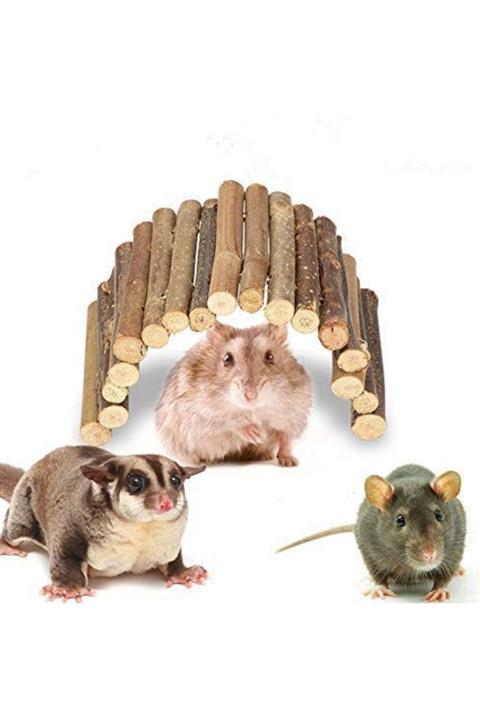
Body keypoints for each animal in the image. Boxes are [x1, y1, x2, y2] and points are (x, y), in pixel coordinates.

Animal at [0, 446, 206, 602]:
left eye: (176, 481)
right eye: (135, 482)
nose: (166, 502)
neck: (141, 527)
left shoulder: (170, 540)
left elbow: (172, 558)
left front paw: (182, 573)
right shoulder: (71, 521)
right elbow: (66, 553)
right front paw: (69, 588)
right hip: (23, 504)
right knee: (16, 528)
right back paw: (6, 544)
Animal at [155, 322, 312, 467]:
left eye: (270, 356)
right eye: (227, 358)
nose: (250, 395)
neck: (253, 409)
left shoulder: (294, 413)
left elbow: (285, 438)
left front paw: (290, 462)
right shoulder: (199, 413)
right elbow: (231, 422)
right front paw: (257, 434)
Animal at [277, 464, 466, 601]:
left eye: (439, 515)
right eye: (400, 520)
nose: (430, 554)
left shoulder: (456, 547)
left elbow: (446, 572)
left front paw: (439, 590)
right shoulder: (368, 547)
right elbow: (376, 571)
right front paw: (379, 588)